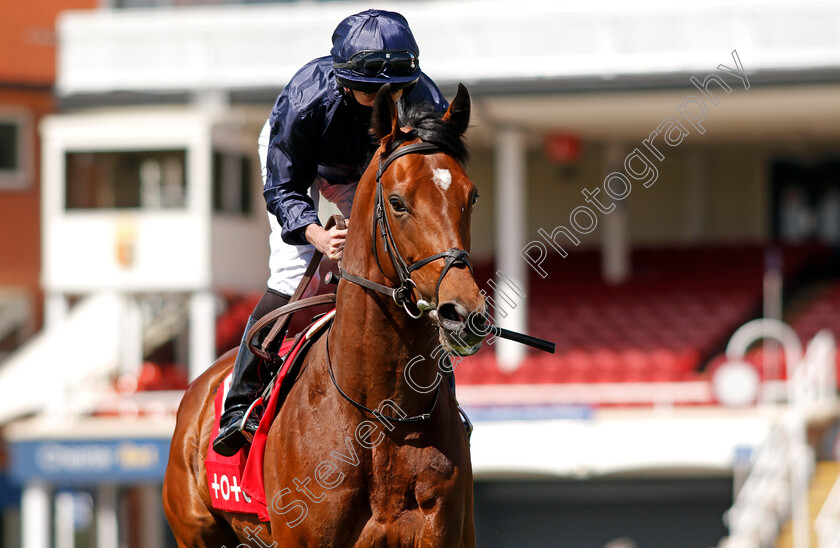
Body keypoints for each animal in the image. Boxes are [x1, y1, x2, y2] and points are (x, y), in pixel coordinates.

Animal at [163, 83, 486, 544]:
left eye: (470, 195)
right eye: (397, 202)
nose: (464, 312)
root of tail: (199, 385)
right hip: (195, 532)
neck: (383, 417)